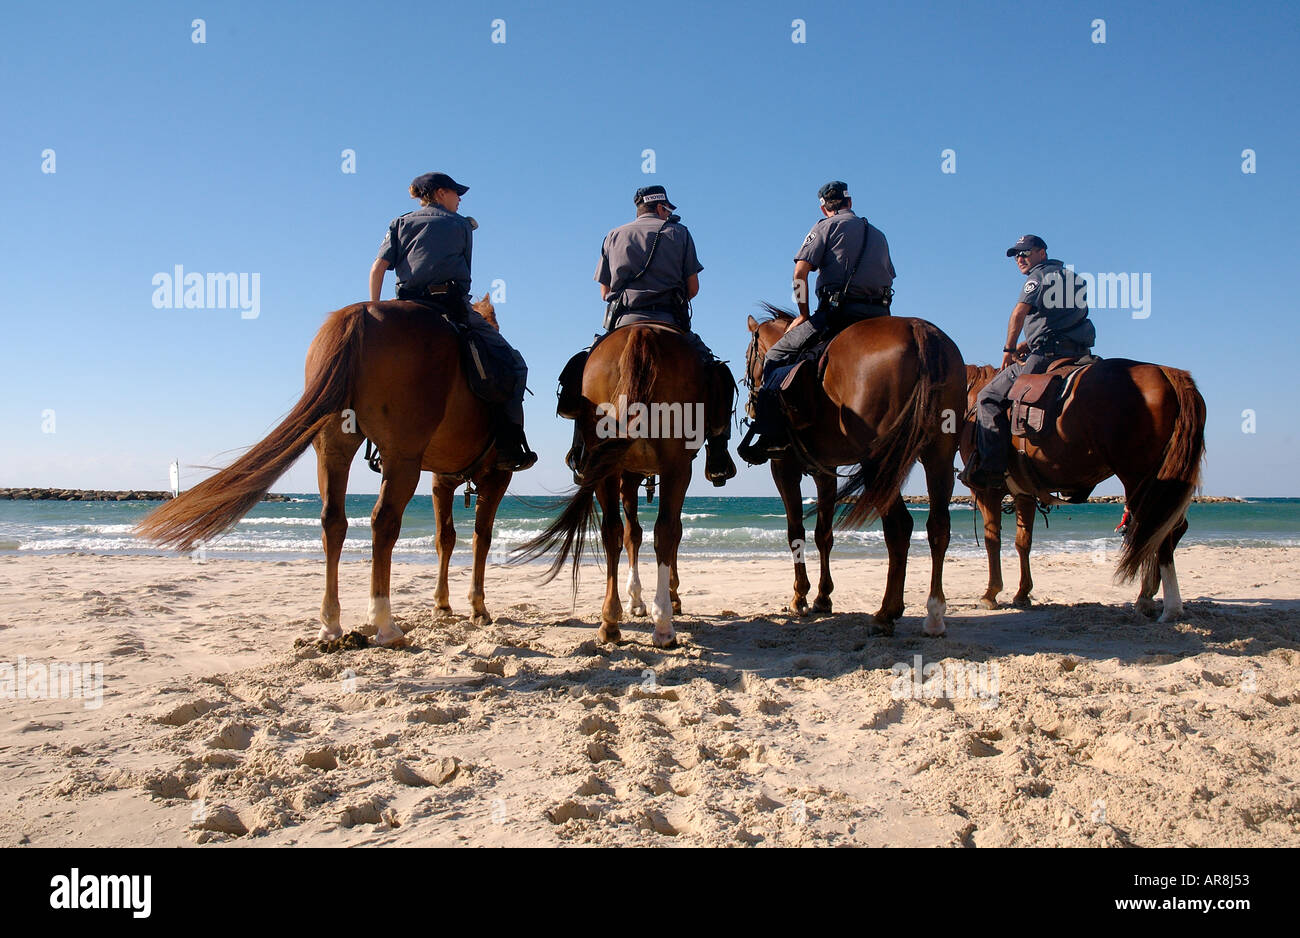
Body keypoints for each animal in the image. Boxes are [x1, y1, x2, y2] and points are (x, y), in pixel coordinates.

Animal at [135, 297, 512, 644]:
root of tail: (362, 312)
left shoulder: (440, 482)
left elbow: (445, 538)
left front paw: (443, 605)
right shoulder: (495, 478)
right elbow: (481, 538)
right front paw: (477, 607)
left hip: (333, 447)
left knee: (333, 520)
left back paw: (331, 623)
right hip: (401, 458)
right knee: (383, 522)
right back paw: (384, 622)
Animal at [517, 322, 717, 644]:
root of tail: (643, 331)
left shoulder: (630, 473)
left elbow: (633, 533)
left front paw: (638, 600)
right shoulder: (641, 473)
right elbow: (647, 532)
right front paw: (662, 597)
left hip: (613, 465)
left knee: (615, 531)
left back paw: (611, 621)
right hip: (673, 465)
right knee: (664, 530)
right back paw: (662, 623)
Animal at [748, 306, 972, 636]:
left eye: (750, 355)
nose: (751, 404)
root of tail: (920, 331)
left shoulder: (784, 468)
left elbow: (795, 532)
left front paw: (800, 597)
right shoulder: (825, 472)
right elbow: (823, 534)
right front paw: (823, 597)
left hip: (879, 463)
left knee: (900, 527)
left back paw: (886, 612)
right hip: (939, 456)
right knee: (938, 527)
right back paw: (933, 614)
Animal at [956, 353, 1206, 618]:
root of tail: (1167, 373)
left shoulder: (987, 490)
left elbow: (992, 540)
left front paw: (990, 593)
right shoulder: (1024, 493)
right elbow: (1023, 542)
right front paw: (1022, 593)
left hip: (1142, 480)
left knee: (1157, 533)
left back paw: (1167, 606)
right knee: (1165, 531)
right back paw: (1150, 597)